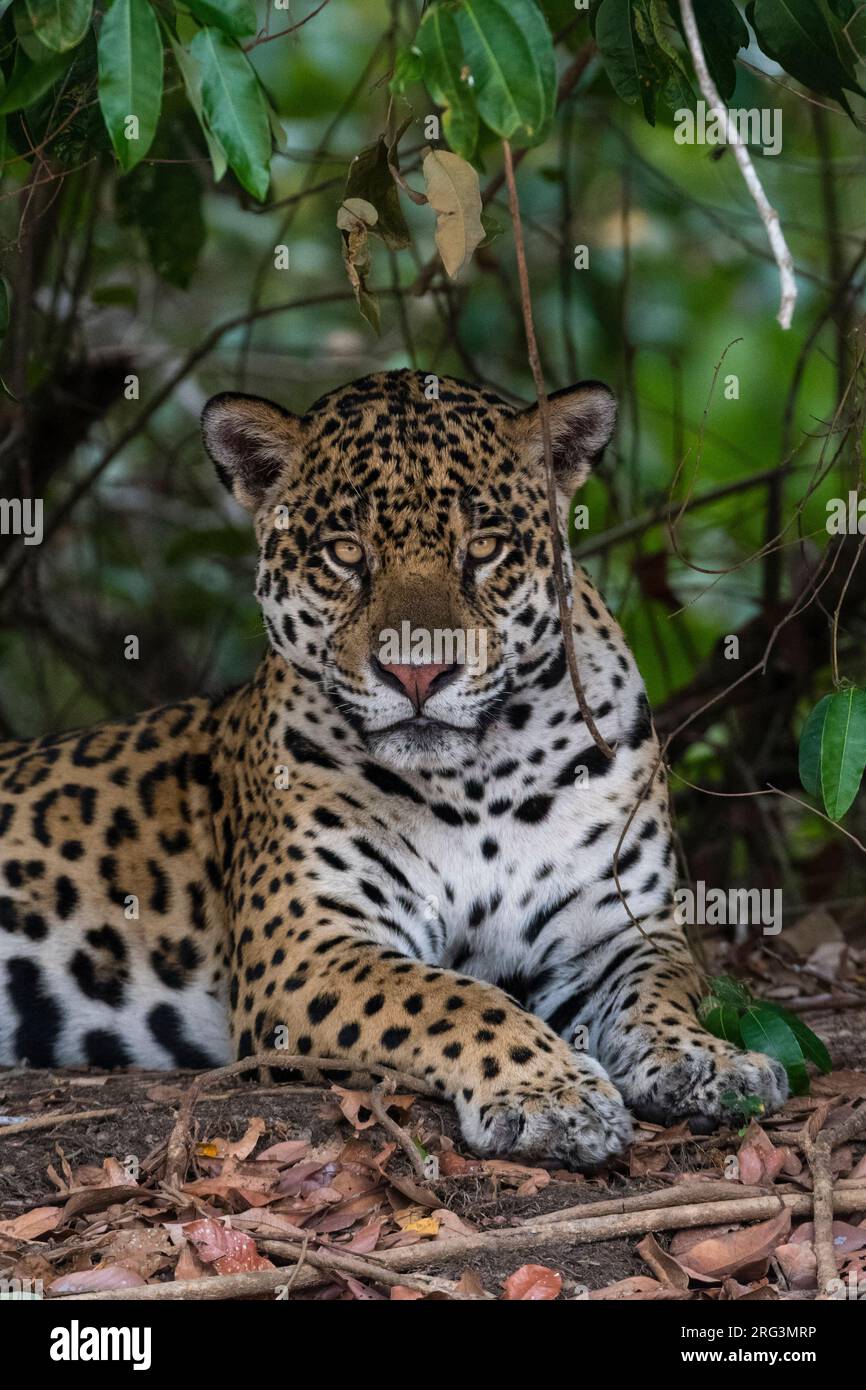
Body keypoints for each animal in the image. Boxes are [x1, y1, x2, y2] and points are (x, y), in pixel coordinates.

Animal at [0, 369, 787, 1167]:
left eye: (485, 546)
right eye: (347, 553)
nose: (418, 672)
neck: (480, 780)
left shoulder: (618, 929)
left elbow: (668, 987)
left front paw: (711, 1061)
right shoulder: (312, 945)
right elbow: (449, 996)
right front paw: (552, 1094)